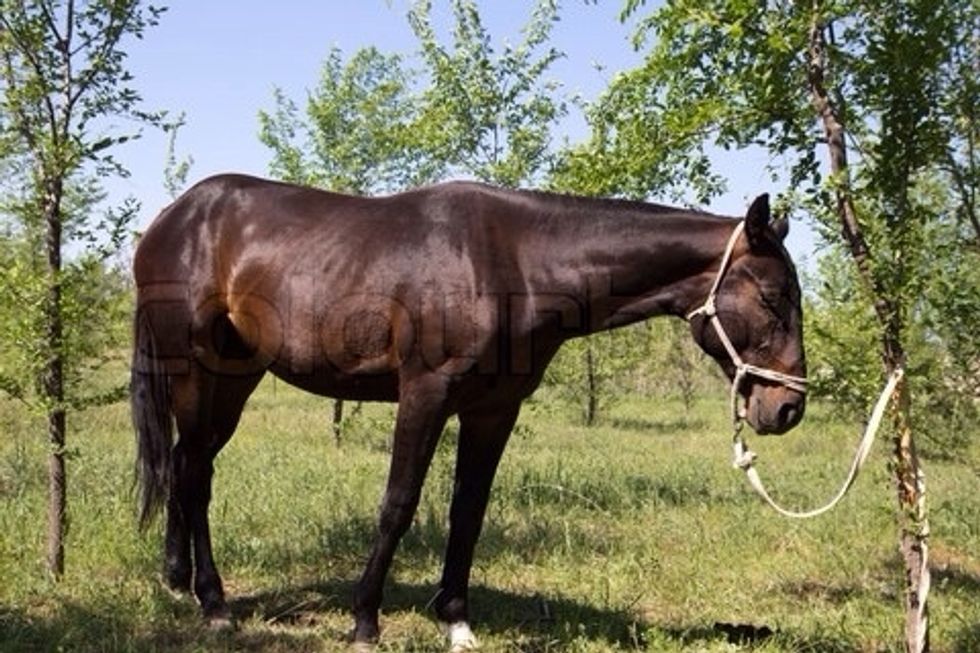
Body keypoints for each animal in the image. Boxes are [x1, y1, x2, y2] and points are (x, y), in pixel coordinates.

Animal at [130, 174, 806, 649]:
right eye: (774, 296)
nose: (789, 407)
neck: (515, 263)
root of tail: (171, 218)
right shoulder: (425, 395)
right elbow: (399, 503)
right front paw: (365, 621)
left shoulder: (492, 409)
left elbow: (468, 511)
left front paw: (455, 621)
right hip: (196, 371)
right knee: (193, 473)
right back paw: (214, 603)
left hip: (236, 378)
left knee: (188, 465)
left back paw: (178, 579)